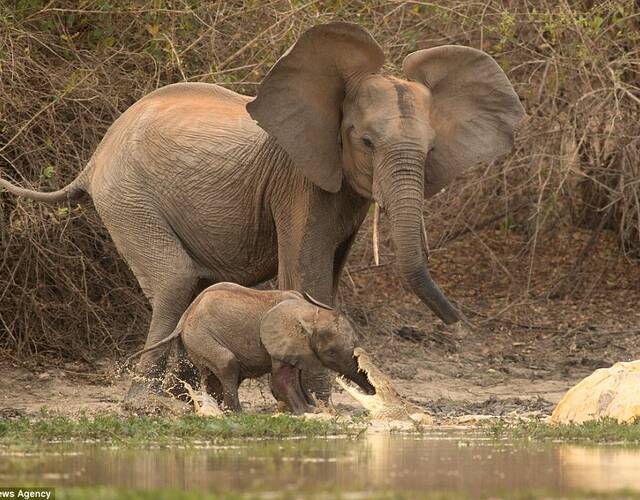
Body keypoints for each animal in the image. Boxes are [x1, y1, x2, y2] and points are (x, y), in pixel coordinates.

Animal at [129, 282, 376, 414]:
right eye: (331, 352)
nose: (372, 392)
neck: (309, 311)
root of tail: (184, 316)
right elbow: (281, 380)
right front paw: (305, 412)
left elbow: (295, 377)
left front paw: (312, 409)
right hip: (201, 336)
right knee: (227, 364)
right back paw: (236, 413)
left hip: (192, 341)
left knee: (213, 376)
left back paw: (216, 409)